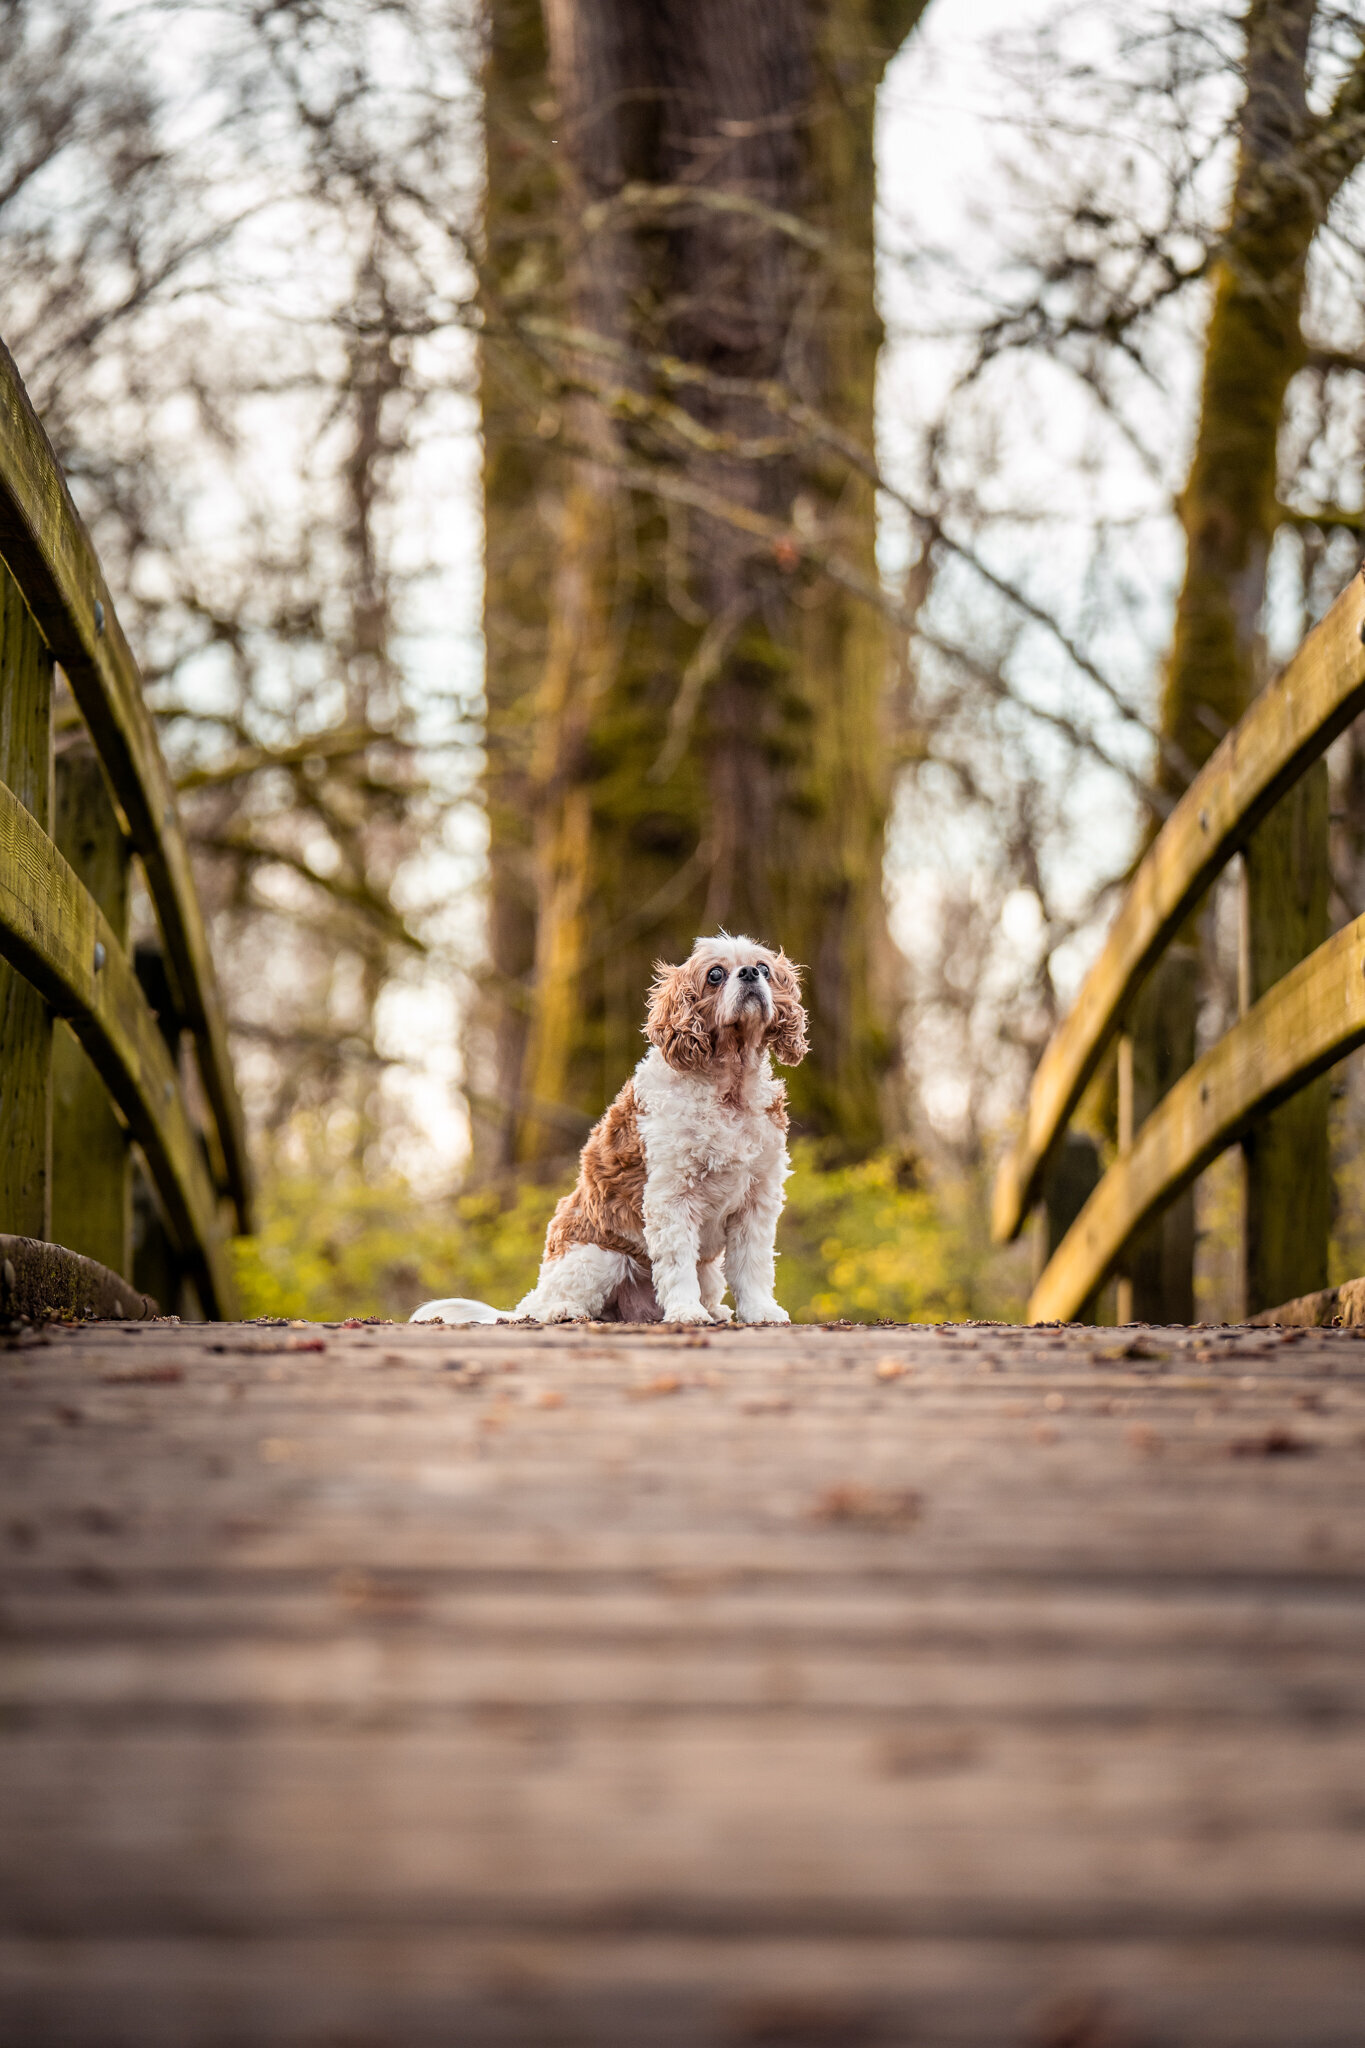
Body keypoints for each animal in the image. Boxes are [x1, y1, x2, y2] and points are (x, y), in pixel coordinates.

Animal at [411, 933, 806, 1327]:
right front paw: (686, 1313)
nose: (750, 972)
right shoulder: (672, 1197)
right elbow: (678, 1263)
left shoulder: (757, 1198)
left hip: (702, 1269)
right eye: (715, 974)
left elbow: (752, 1266)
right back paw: (563, 1310)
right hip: (601, 1257)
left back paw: (716, 1310)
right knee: (542, 1307)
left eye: (764, 969)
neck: (729, 1090)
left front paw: (760, 1311)